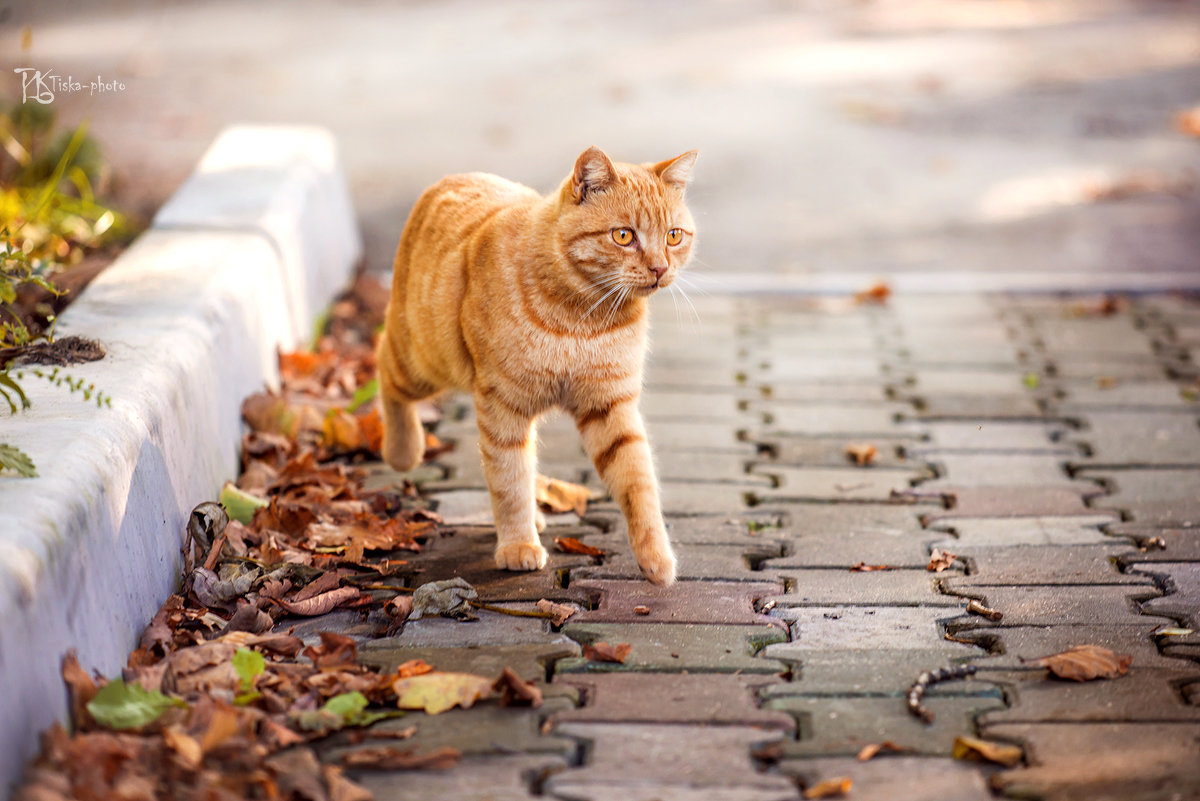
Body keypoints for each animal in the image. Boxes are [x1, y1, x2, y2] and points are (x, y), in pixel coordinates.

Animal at [372, 146, 696, 585]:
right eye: (624, 236)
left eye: (673, 236)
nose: (660, 268)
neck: (582, 317)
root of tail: (453, 177)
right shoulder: (503, 408)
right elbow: (509, 482)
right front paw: (517, 545)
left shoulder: (610, 407)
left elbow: (638, 483)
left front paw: (655, 557)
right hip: (421, 360)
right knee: (382, 364)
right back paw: (403, 450)